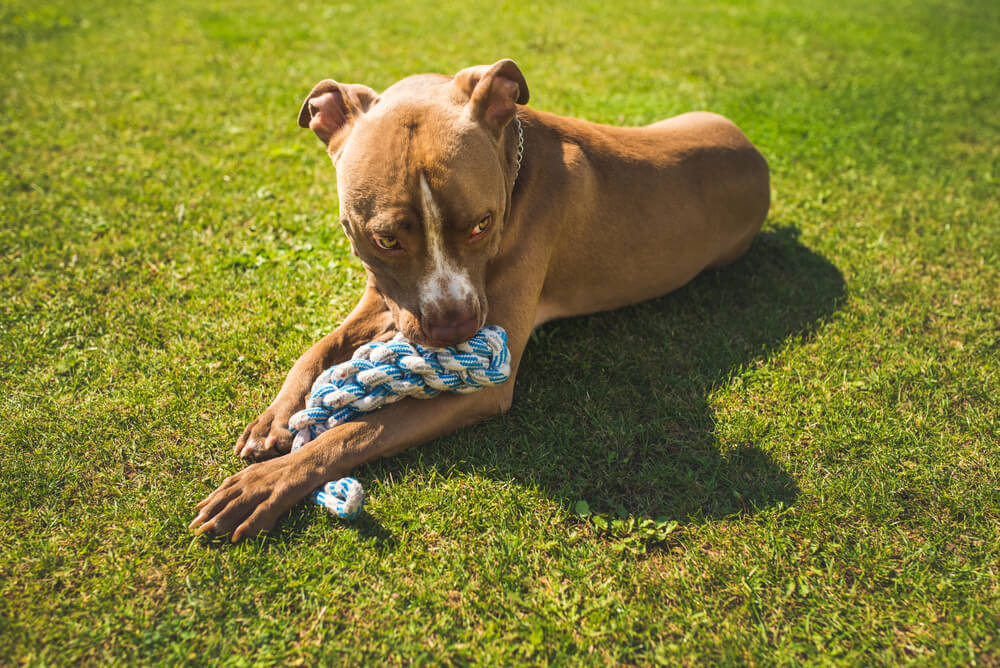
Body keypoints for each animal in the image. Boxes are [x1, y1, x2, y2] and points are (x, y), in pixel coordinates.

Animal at [193, 58, 772, 544]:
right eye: (386, 239)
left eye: (481, 224)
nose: (454, 328)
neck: (514, 164)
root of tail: (756, 153)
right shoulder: (382, 298)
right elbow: (316, 350)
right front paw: (275, 418)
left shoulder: (481, 384)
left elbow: (355, 431)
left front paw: (267, 482)